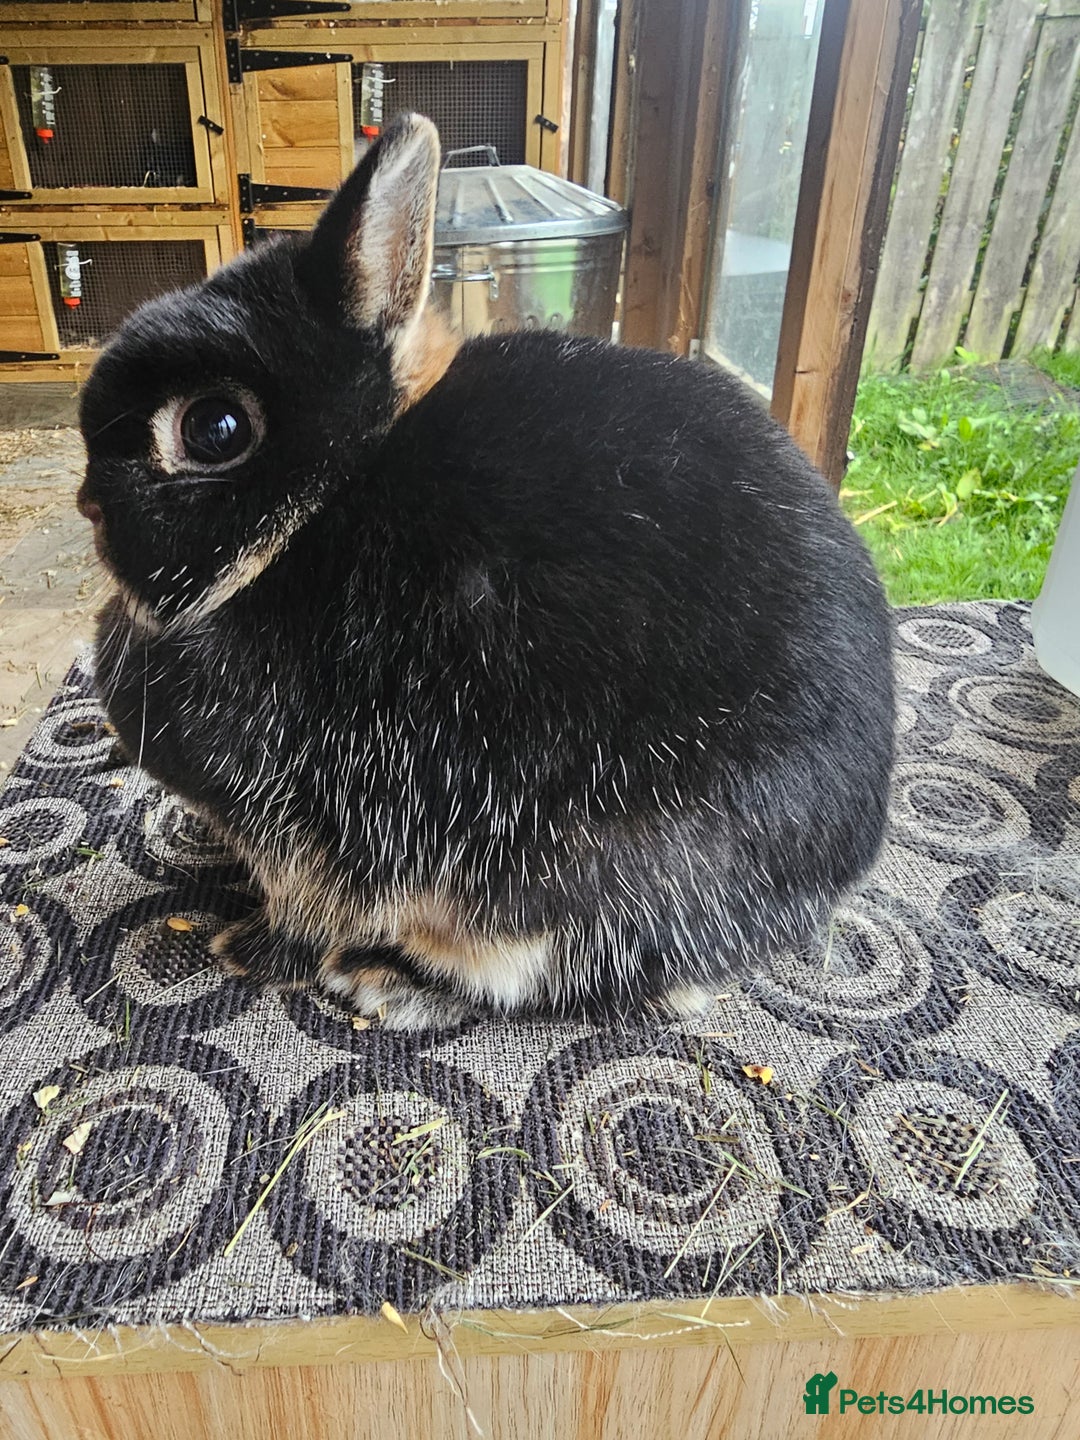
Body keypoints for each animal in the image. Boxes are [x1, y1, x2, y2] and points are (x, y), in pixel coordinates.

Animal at [76, 112, 895, 1029]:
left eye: (213, 428)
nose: (87, 505)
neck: (326, 508)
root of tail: (830, 873)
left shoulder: (328, 817)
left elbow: (311, 905)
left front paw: (249, 950)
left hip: (566, 880)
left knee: (540, 975)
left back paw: (388, 982)